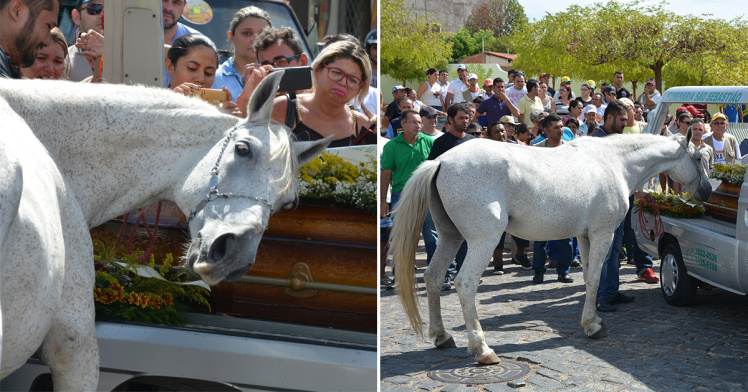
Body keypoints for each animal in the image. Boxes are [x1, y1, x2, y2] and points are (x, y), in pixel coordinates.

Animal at [394, 132, 712, 364]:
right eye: (698, 157)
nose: (707, 191)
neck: (614, 163)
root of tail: (441, 162)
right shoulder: (603, 234)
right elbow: (595, 278)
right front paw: (593, 326)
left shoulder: (584, 237)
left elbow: (587, 277)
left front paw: (592, 320)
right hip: (482, 241)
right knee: (465, 283)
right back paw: (483, 349)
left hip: (451, 238)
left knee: (434, 277)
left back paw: (442, 336)